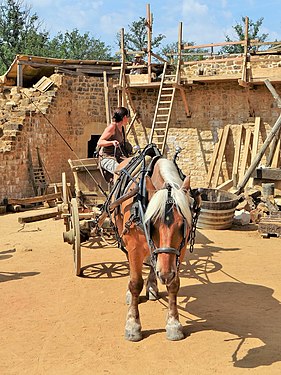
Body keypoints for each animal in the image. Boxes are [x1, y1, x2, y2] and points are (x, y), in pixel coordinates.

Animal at [111, 155, 192, 340]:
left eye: (182, 225)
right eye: (152, 224)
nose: (165, 275)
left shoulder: (180, 250)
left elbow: (174, 284)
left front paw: (173, 324)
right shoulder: (134, 247)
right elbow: (135, 283)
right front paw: (133, 324)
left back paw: (153, 286)